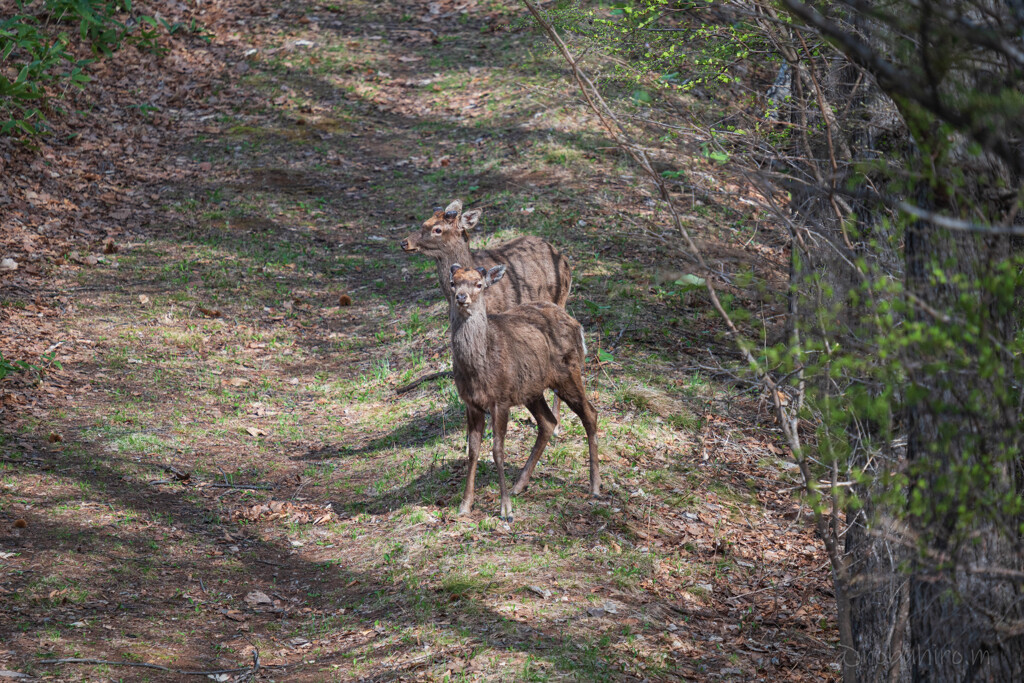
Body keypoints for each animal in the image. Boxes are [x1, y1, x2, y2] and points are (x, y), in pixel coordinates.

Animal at [401, 197, 577, 430]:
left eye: (437, 229)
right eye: (424, 222)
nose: (405, 242)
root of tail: (562, 256)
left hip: (561, 298)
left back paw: (556, 422)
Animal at [448, 264, 598, 520]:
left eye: (479, 284)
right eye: (453, 283)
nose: (461, 297)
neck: (479, 368)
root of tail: (578, 327)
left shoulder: (500, 399)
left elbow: (497, 450)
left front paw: (505, 509)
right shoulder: (471, 403)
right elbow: (473, 450)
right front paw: (465, 505)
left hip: (569, 373)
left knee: (590, 414)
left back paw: (595, 485)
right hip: (531, 389)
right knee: (548, 421)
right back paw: (519, 484)